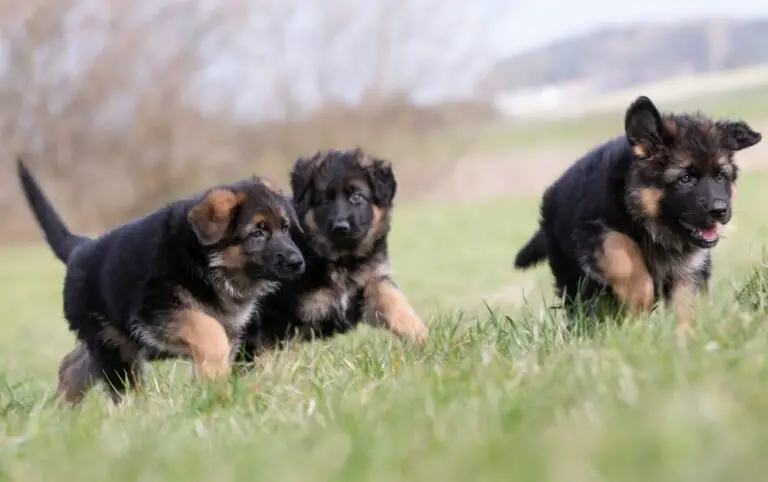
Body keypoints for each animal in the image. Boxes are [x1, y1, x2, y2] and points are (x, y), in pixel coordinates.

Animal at [15, 158, 304, 402]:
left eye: (286, 228)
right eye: (257, 232)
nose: (298, 262)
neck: (206, 260)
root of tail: (79, 249)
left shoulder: (229, 326)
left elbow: (221, 345)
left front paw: (214, 388)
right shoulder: (157, 310)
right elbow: (209, 332)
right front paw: (212, 381)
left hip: (110, 338)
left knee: (72, 366)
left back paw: (61, 410)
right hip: (113, 346)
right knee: (121, 384)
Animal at [237, 149, 426, 360]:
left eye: (356, 197)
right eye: (325, 200)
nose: (340, 227)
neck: (340, 260)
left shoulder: (372, 281)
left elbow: (394, 302)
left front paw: (421, 336)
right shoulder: (276, 313)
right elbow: (275, 348)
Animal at [512, 96, 760, 334]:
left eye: (720, 176)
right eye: (685, 179)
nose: (720, 211)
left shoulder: (689, 267)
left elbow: (685, 300)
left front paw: (685, 335)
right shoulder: (596, 231)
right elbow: (628, 262)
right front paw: (640, 309)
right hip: (574, 279)